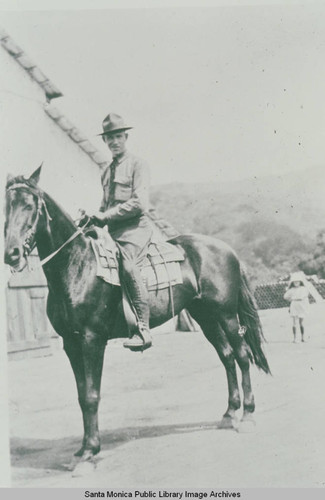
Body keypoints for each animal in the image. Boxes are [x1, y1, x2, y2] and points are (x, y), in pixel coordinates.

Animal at [3, 166, 270, 466]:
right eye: (6, 207)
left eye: (29, 206)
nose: (11, 253)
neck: (78, 266)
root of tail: (228, 250)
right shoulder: (71, 343)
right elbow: (82, 395)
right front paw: (82, 451)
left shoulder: (92, 340)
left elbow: (92, 395)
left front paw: (91, 452)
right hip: (206, 317)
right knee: (226, 357)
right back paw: (229, 414)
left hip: (226, 315)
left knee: (242, 356)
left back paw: (247, 415)